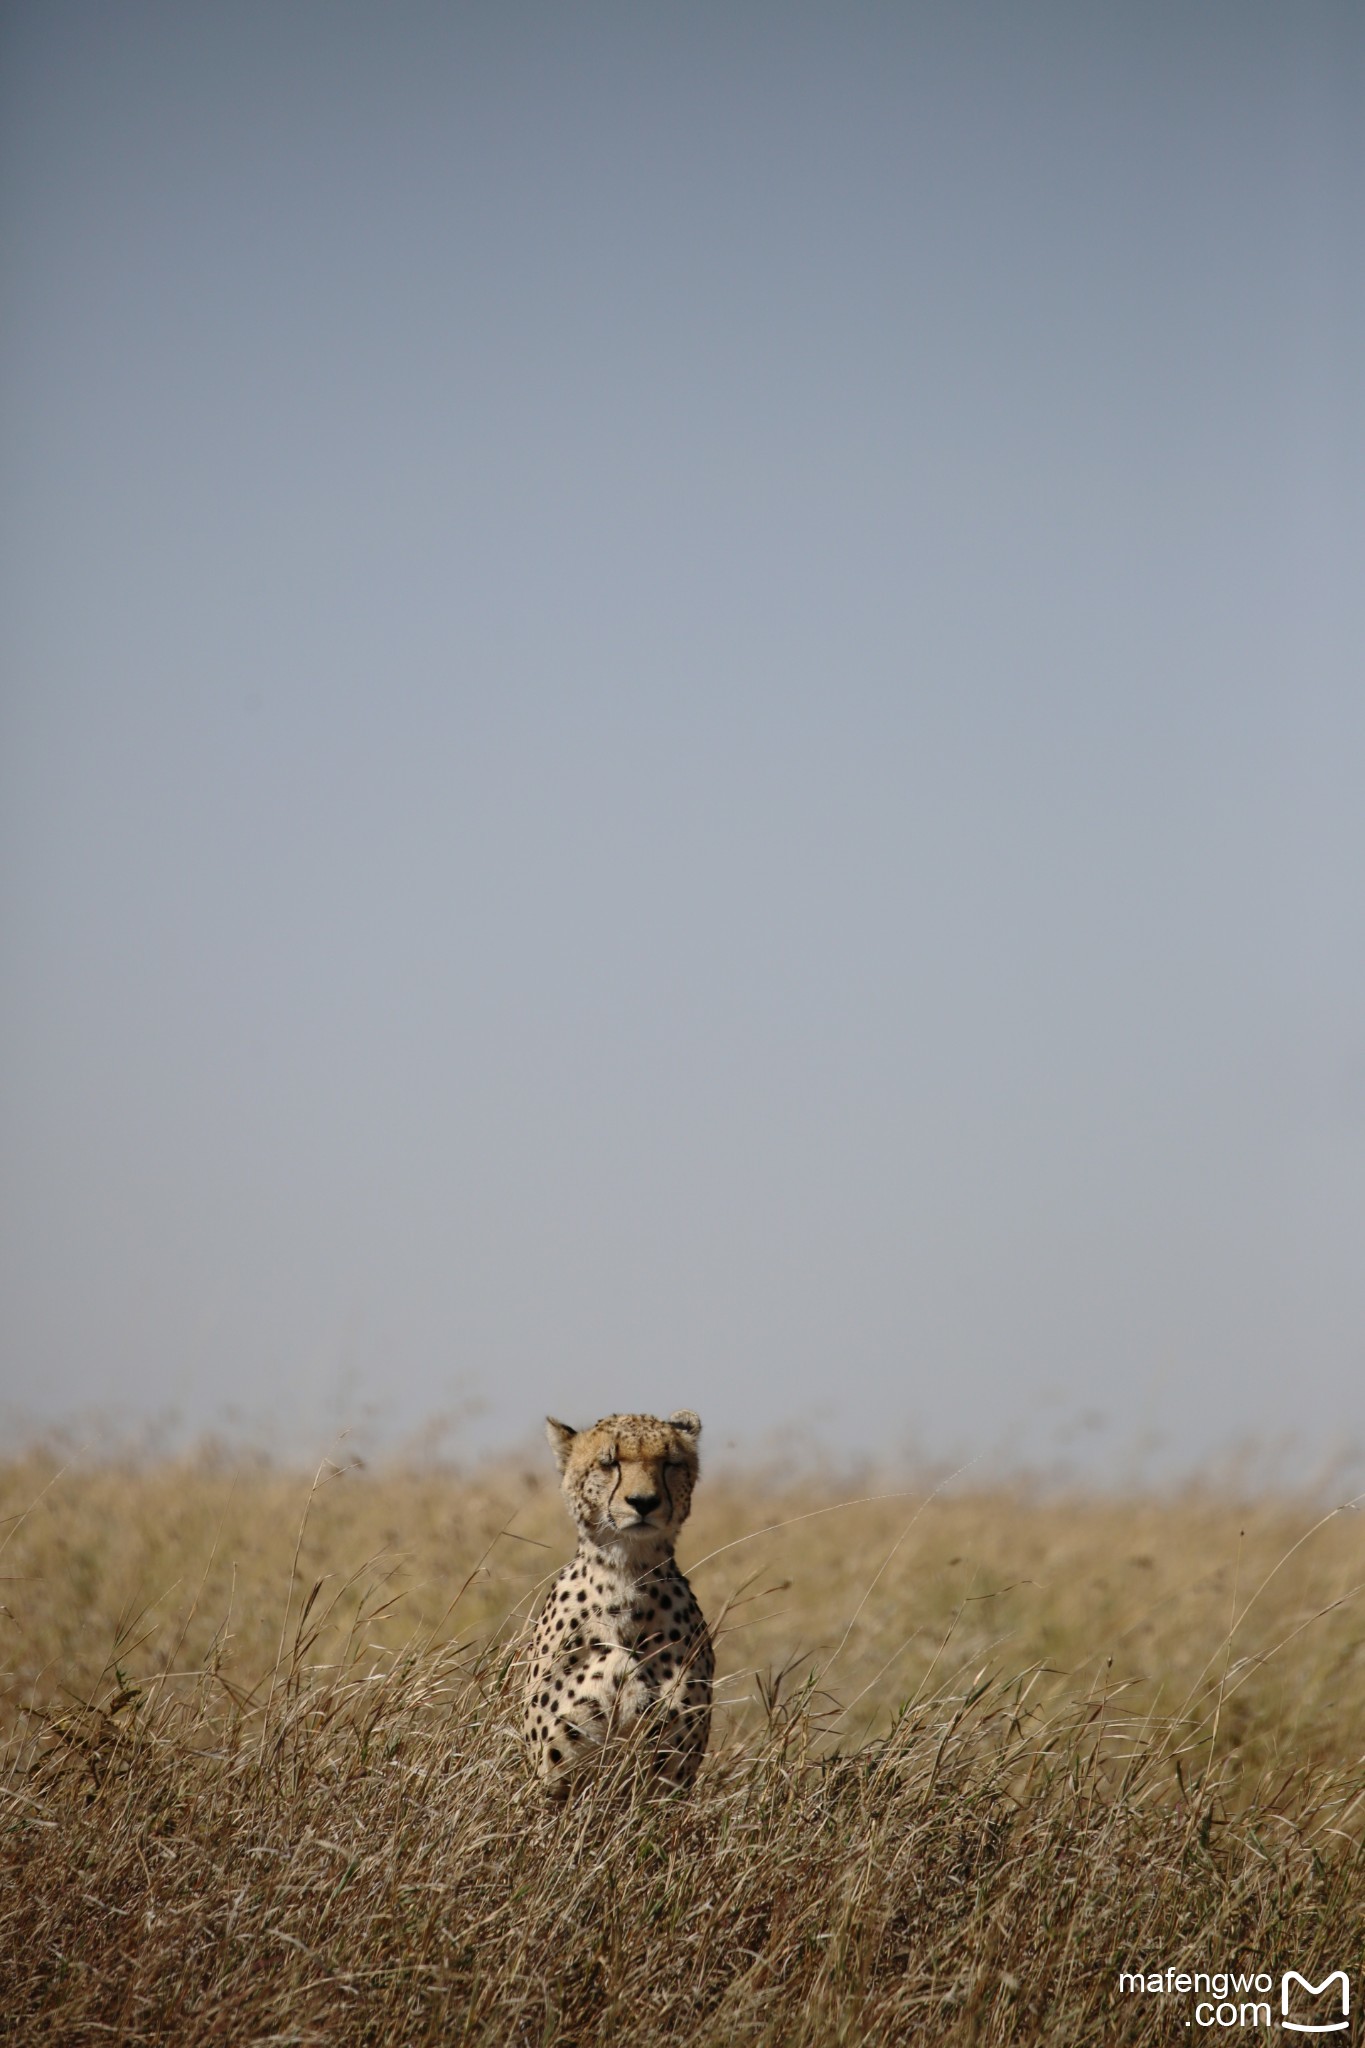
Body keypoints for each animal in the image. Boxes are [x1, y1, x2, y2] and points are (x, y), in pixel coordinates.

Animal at [519, 1400, 716, 1802]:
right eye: (609, 1463)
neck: (627, 1577)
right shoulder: (553, 1777)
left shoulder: (669, 1776)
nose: (643, 1502)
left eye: (670, 1463)